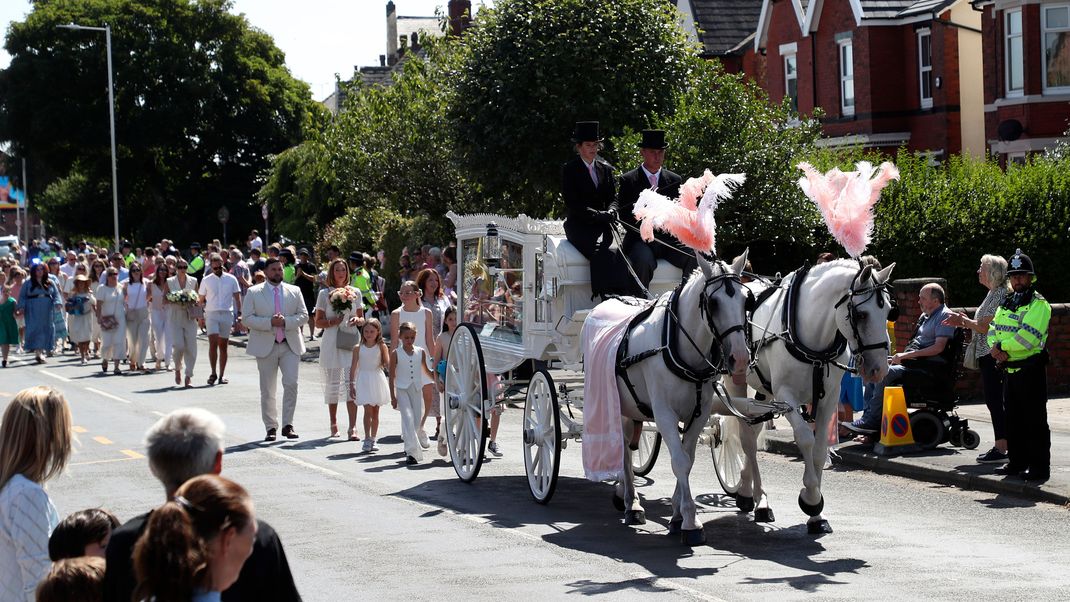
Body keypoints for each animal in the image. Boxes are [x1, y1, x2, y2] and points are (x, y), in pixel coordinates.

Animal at [607, 251, 749, 547]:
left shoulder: (699, 413)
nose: (740, 358)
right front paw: (691, 522)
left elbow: (687, 458)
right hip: (620, 405)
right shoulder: (664, 415)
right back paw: (631, 503)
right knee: (624, 449)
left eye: (746, 299)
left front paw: (676, 515)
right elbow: (679, 462)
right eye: (713, 303)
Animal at [727, 261, 894, 534]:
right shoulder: (786, 396)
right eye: (861, 314)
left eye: (889, 311)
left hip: (764, 391)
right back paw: (759, 500)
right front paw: (811, 498)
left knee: (753, 432)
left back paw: (748, 491)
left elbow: (820, 447)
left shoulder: (829, 397)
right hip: (736, 383)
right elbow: (805, 438)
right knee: (748, 441)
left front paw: (817, 516)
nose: (879, 369)